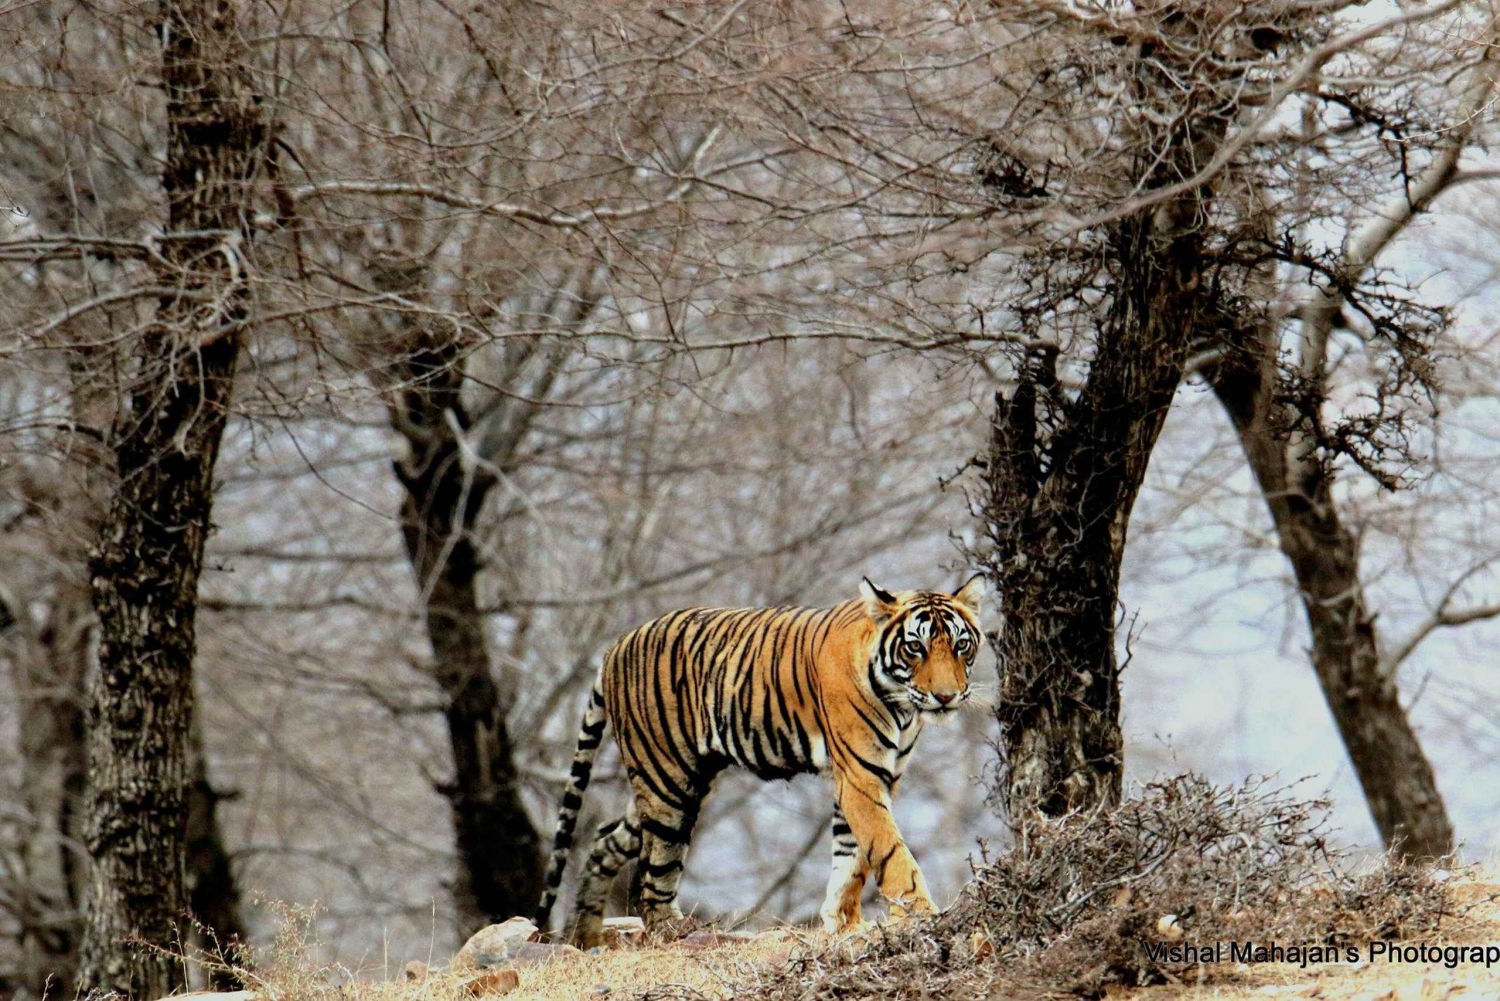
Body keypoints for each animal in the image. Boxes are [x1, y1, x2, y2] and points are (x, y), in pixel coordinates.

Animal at [532, 574, 986, 947]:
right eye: (915, 648)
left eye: (961, 645)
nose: (946, 696)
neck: (902, 704)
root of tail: (616, 645)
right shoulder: (861, 775)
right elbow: (889, 849)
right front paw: (920, 914)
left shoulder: (879, 775)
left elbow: (852, 855)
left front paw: (842, 921)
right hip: (667, 781)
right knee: (654, 871)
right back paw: (673, 931)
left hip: (671, 779)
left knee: (604, 841)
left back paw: (586, 937)